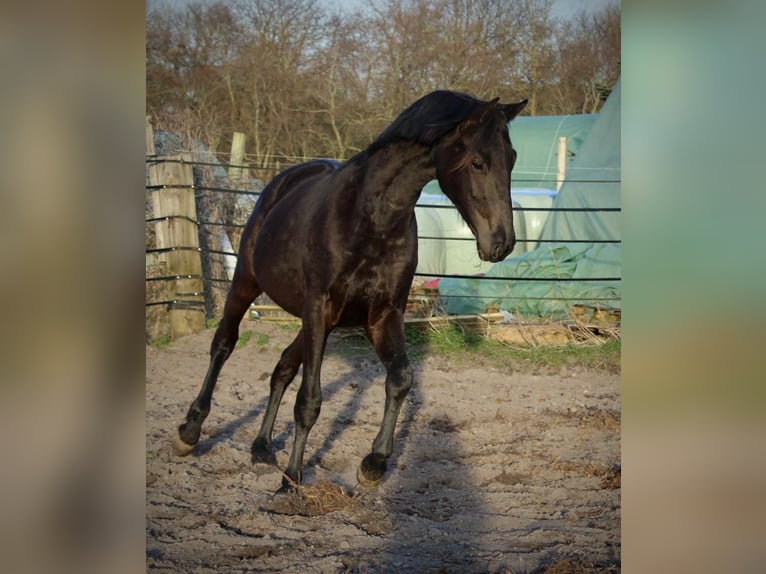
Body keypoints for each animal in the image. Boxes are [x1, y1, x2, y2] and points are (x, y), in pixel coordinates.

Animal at [174, 90, 528, 491]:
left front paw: (373, 463)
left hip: (314, 321)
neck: (370, 219)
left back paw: (262, 447)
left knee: (282, 367)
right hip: (248, 284)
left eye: (512, 158)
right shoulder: (319, 308)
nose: (502, 243)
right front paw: (292, 478)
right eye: (478, 163)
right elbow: (309, 400)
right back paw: (190, 432)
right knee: (224, 344)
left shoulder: (382, 315)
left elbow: (400, 379)